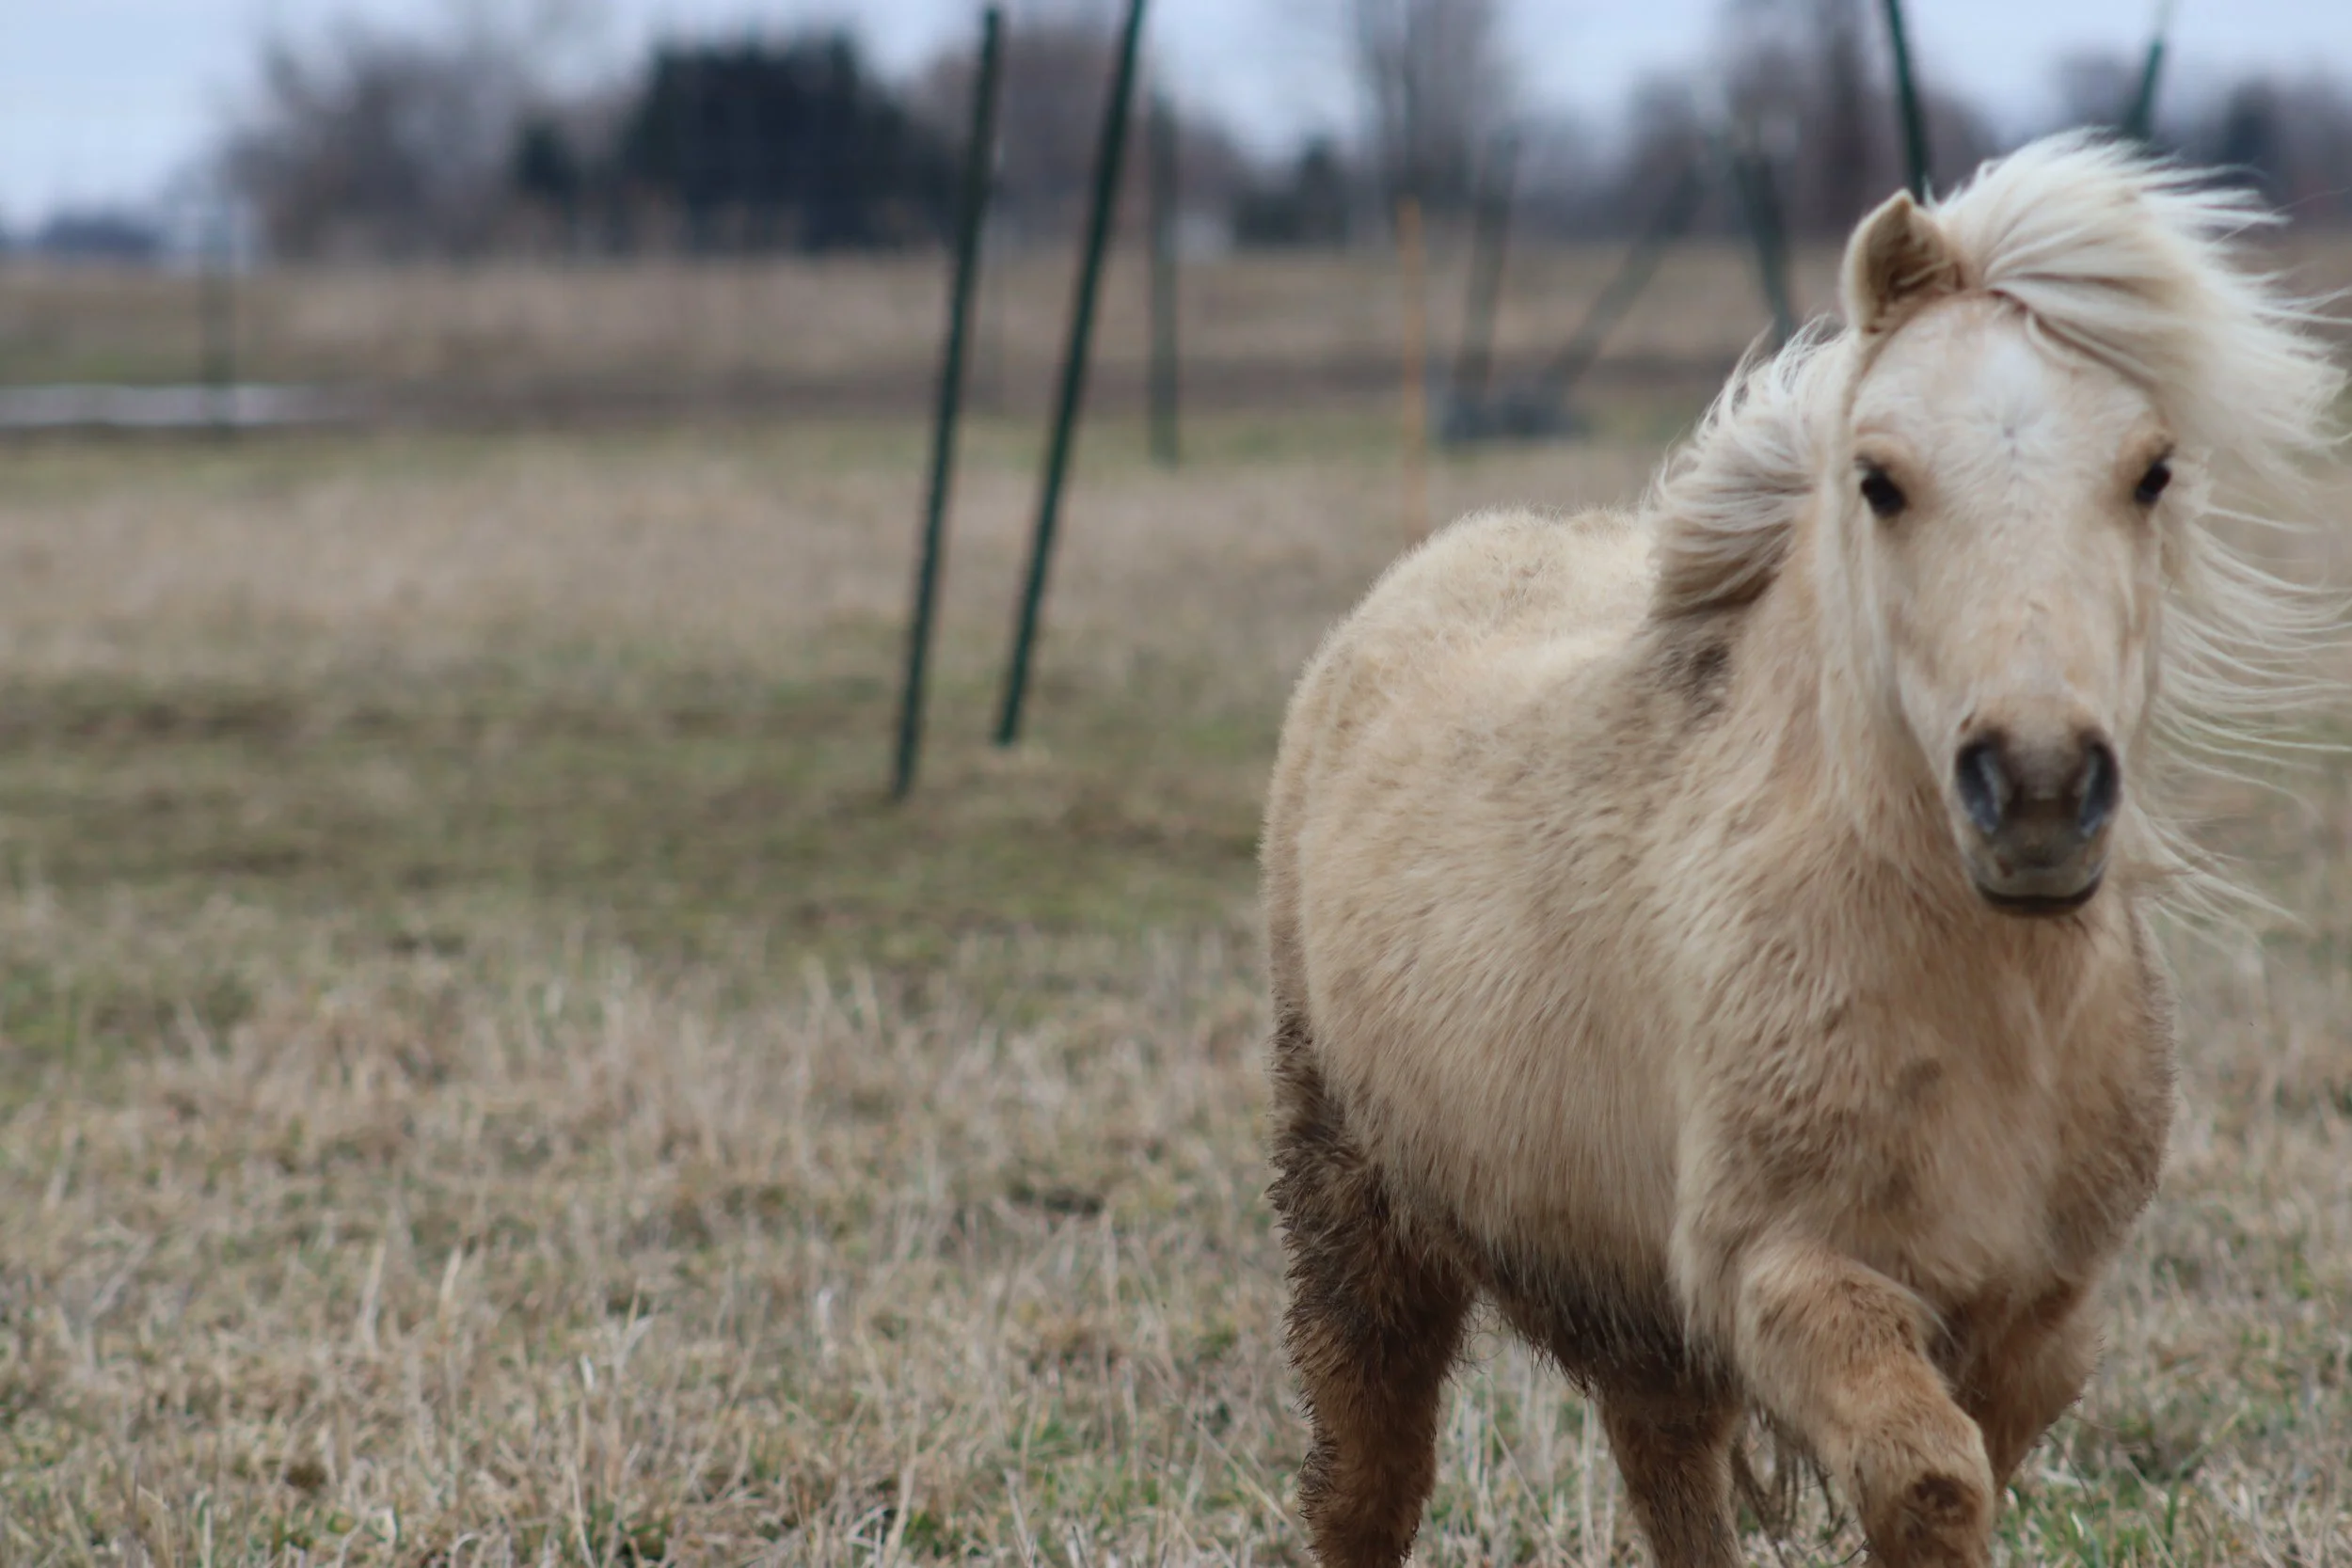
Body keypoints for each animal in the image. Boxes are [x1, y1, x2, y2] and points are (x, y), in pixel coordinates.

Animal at [1260, 133, 2342, 1568]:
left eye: (2151, 470)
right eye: (1879, 478)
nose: (2038, 788)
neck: (1977, 1007)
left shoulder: (2040, 1315)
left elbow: (1970, 1461)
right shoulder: (1784, 1273)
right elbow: (1929, 1478)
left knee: (1664, 1460)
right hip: (1352, 1205)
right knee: (1368, 1476)